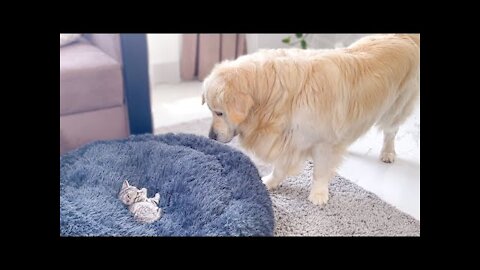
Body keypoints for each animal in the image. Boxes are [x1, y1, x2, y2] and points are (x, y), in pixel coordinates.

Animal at [201, 34, 418, 206]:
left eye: (219, 113)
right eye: (211, 110)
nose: (211, 136)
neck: (274, 95)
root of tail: (404, 36)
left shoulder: (323, 142)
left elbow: (319, 171)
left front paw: (318, 194)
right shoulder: (288, 139)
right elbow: (280, 167)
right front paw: (270, 182)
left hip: (396, 107)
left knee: (391, 131)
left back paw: (388, 152)